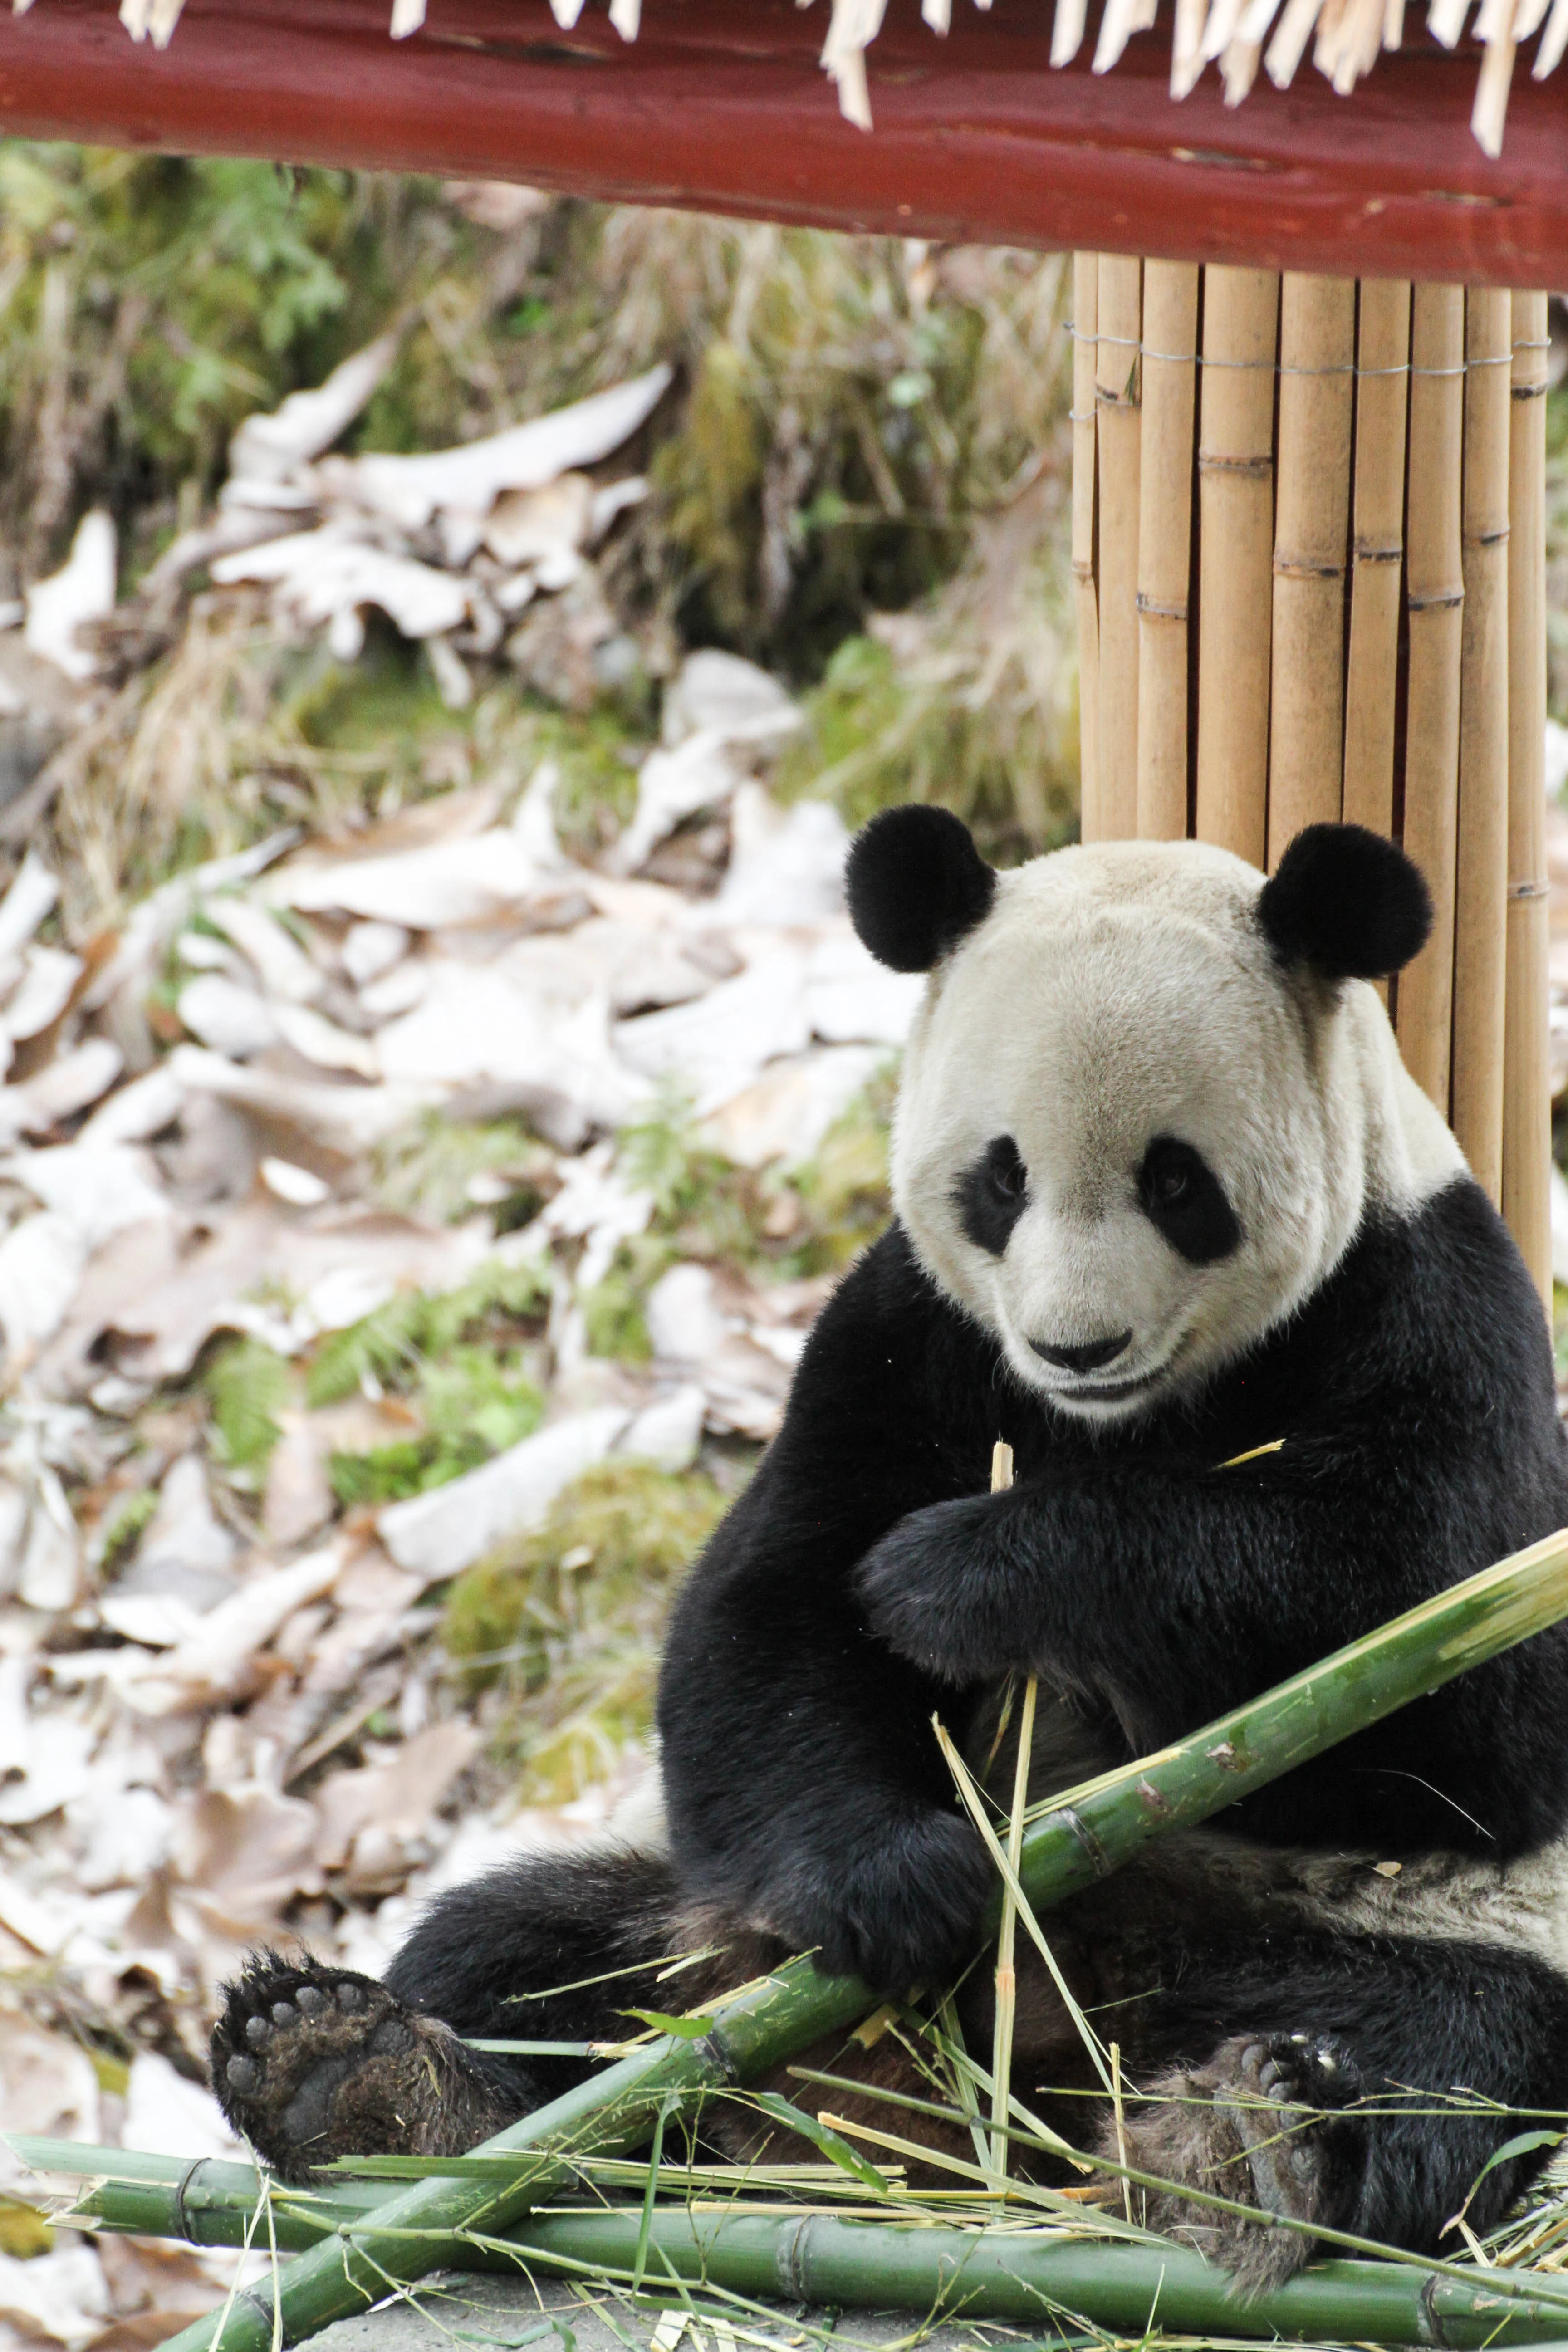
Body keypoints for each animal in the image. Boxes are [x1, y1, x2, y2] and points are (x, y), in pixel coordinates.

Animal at [213, 808, 1568, 2292]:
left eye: (1176, 1182)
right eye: (1001, 1176)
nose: (1074, 1347)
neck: (1132, 1418)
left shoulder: (1432, 1306)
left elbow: (1460, 1690)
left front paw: (973, 1576)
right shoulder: (904, 1335)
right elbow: (767, 1613)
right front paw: (896, 1878)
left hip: (1383, 1943)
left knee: (1441, 2059)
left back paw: (1250, 2142)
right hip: (705, 1946)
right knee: (525, 1956)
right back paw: (368, 2087)